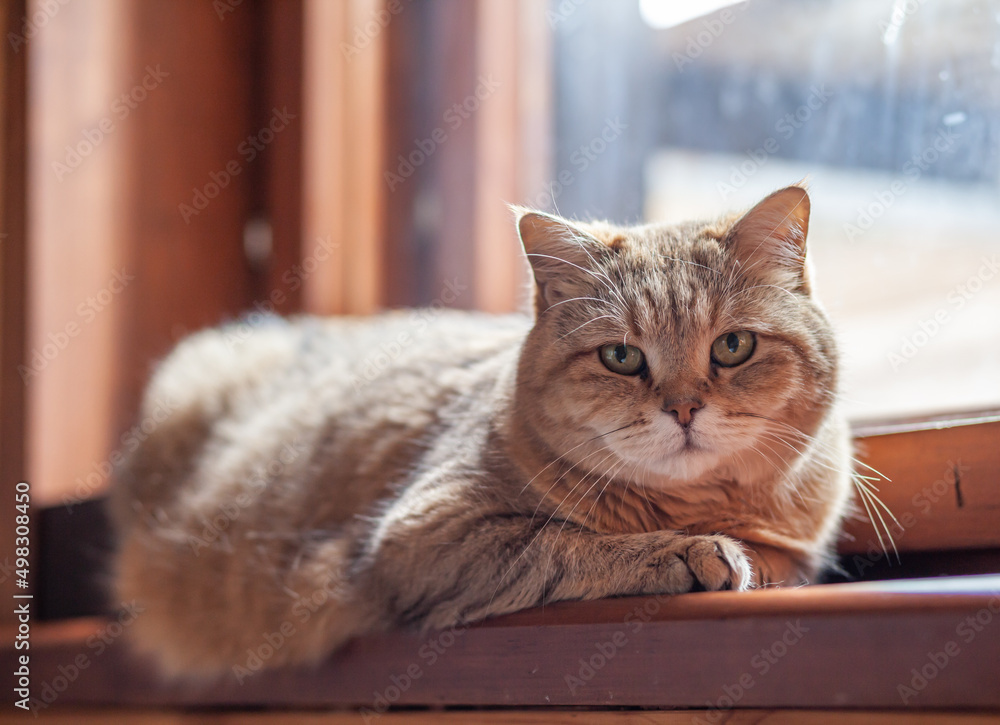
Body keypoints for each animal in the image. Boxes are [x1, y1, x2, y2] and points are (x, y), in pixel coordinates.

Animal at [111, 184, 852, 676]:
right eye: (621, 356)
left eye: (732, 347)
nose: (684, 408)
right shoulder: (423, 533)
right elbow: (564, 543)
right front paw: (687, 552)